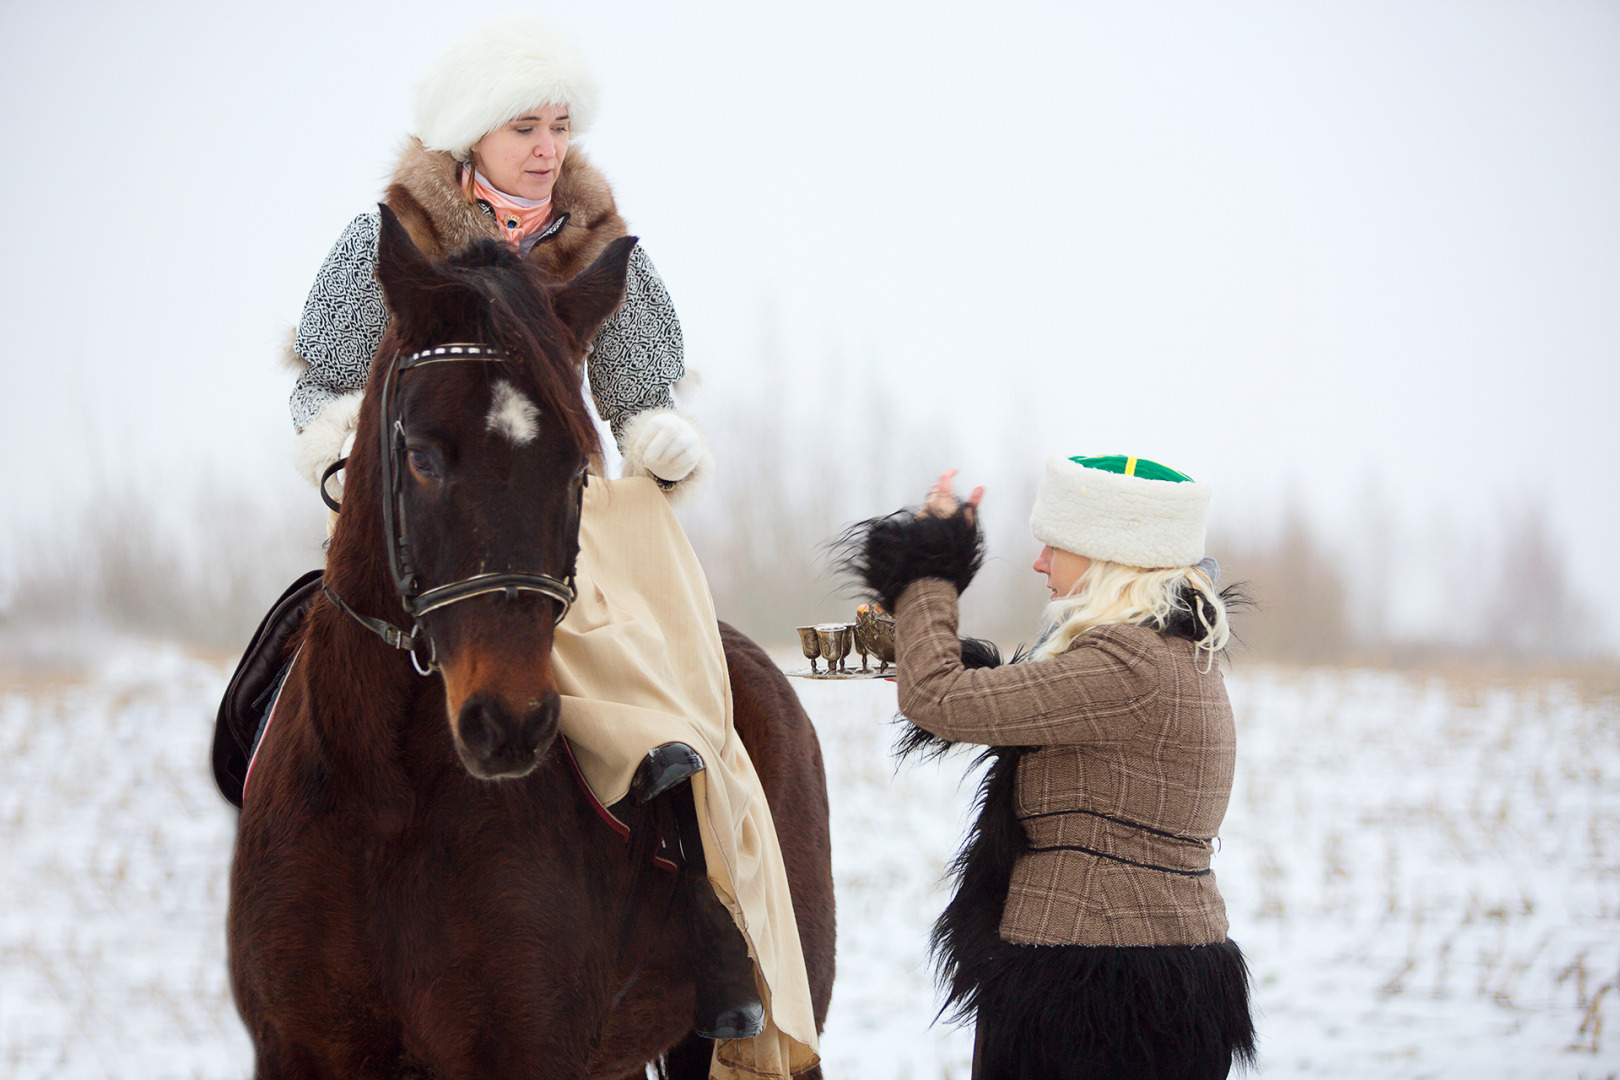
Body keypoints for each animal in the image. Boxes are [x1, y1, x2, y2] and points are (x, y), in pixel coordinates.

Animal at [226, 210, 835, 1080]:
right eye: (421, 456)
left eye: (578, 469)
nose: (508, 721)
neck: (385, 796)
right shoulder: (298, 1049)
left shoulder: (521, 1050)